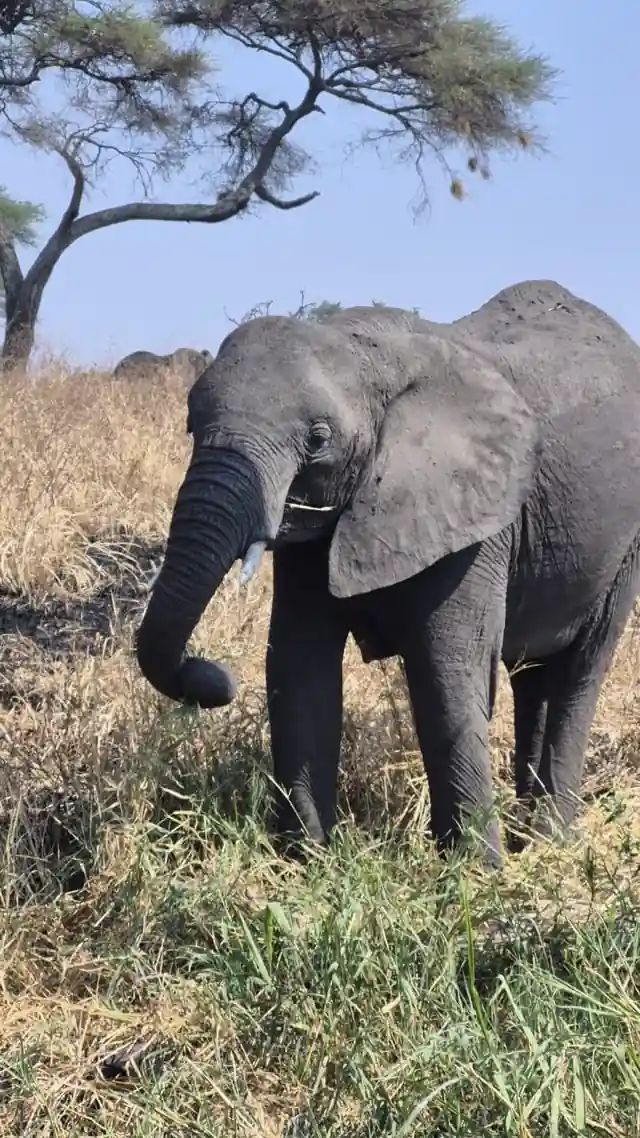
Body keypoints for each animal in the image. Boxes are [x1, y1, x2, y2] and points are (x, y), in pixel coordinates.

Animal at [135, 280, 640, 867]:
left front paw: (474, 872)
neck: (367, 353)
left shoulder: (476, 517)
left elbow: (446, 672)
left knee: (579, 673)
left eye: (318, 439)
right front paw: (306, 864)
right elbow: (298, 665)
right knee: (535, 678)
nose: (214, 678)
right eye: (191, 423)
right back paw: (529, 836)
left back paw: (548, 843)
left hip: (624, 545)